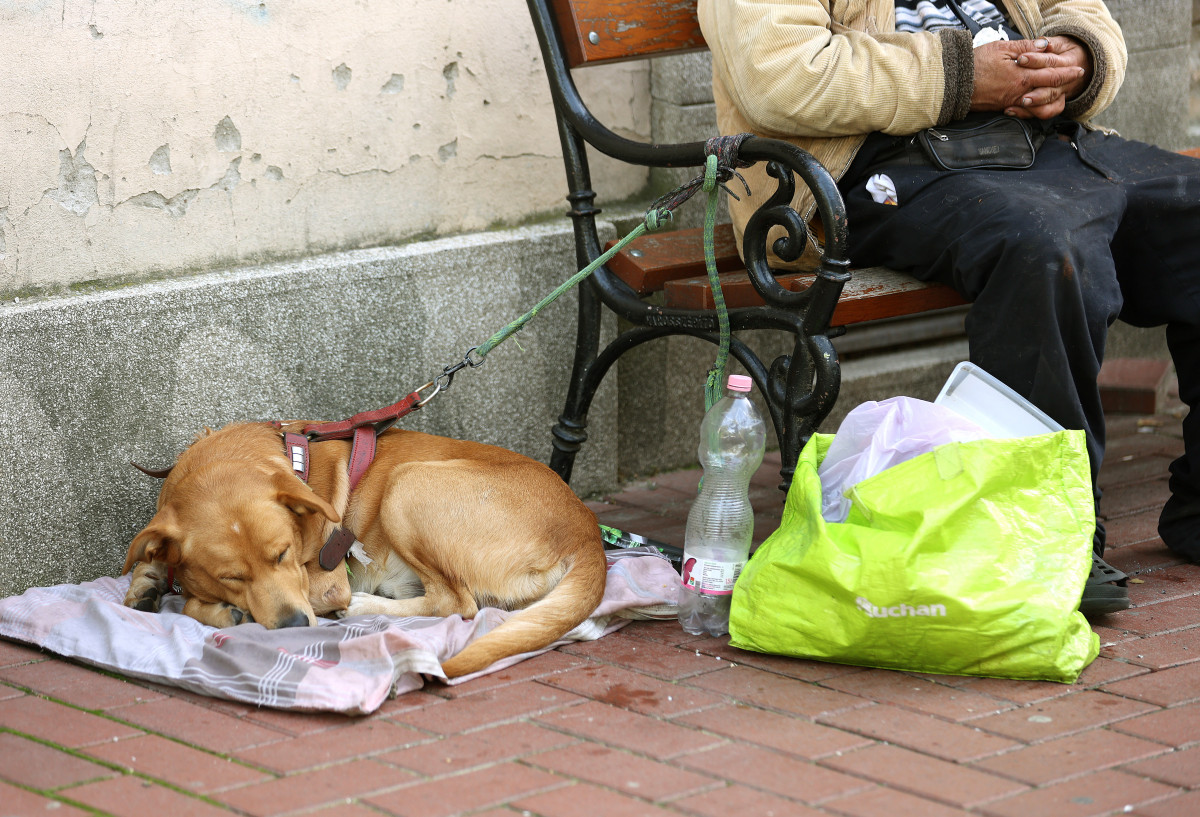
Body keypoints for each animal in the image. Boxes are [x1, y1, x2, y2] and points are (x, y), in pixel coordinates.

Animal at [119, 419, 609, 676]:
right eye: (232, 575)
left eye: (283, 554)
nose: (296, 624)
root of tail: (586, 530)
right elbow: (152, 560)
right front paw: (147, 584)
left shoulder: (323, 582)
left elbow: (188, 603)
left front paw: (217, 610)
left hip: (408, 485)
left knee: (457, 603)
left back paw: (366, 608)